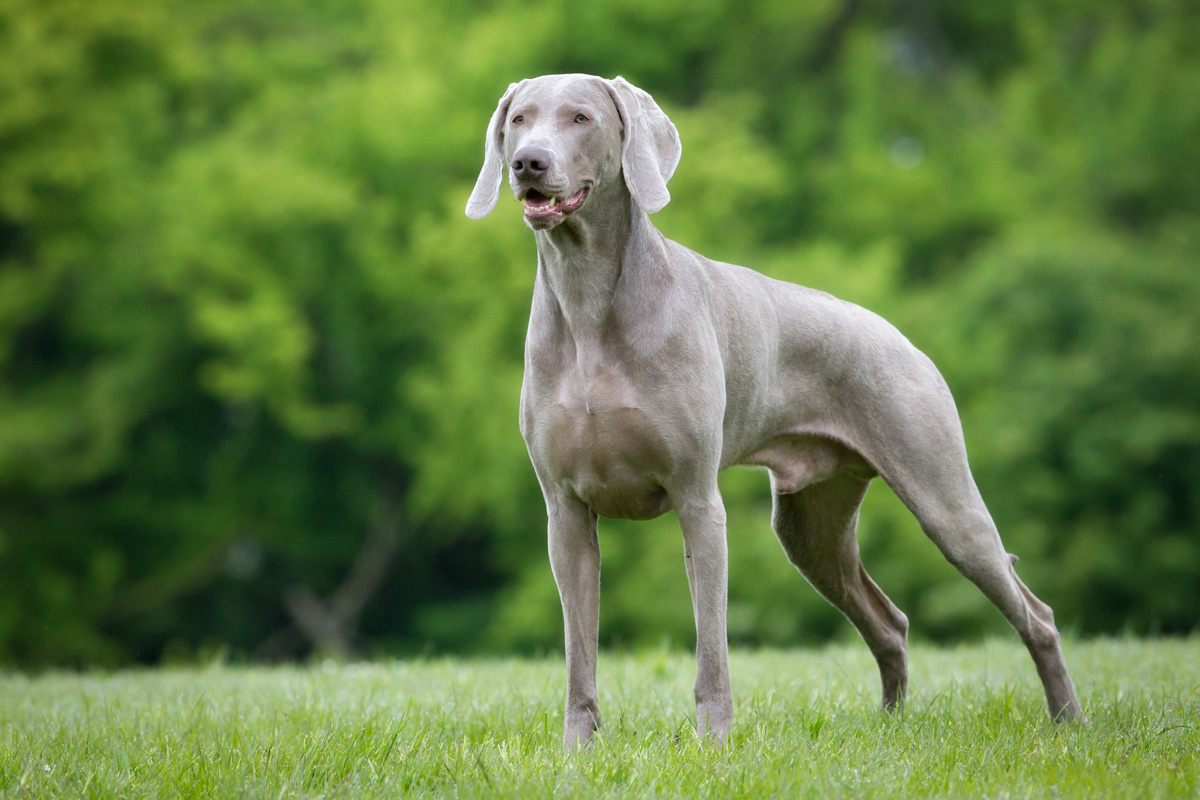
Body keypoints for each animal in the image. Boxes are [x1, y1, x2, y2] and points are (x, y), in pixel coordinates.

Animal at [463, 71, 1084, 748]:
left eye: (581, 117)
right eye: (519, 119)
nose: (528, 162)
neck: (587, 300)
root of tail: (900, 336)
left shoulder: (697, 500)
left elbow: (711, 645)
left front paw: (713, 743)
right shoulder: (566, 512)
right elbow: (580, 648)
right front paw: (579, 748)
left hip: (944, 500)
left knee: (1036, 613)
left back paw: (1068, 720)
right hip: (810, 525)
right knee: (889, 622)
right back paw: (891, 727)